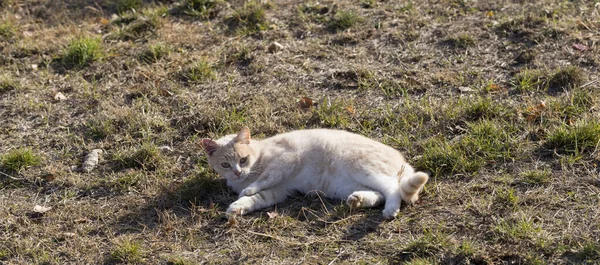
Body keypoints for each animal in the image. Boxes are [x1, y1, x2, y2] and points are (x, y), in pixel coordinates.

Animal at [200, 127, 426, 218]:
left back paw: (390, 210)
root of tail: (404, 161)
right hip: (350, 185)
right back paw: (358, 200)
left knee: (392, 188)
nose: (238, 173)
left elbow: (263, 180)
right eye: (225, 165)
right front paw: (237, 207)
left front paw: (246, 190)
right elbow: (257, 199)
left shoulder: (285, 160)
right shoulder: (280, 190)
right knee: (379, 194)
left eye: (243, 160)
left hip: (362, 167)